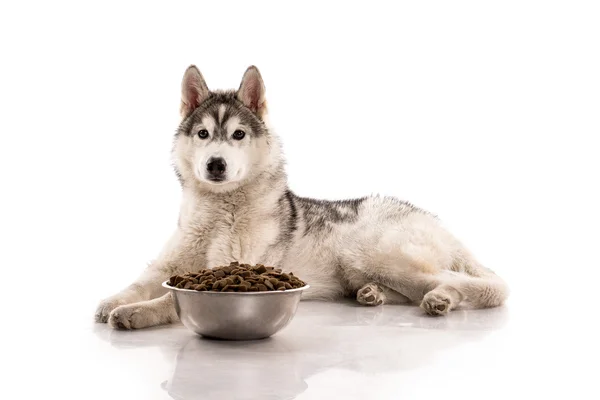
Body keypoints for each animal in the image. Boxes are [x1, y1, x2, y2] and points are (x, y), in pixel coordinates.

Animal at [96, 65, 508, 328]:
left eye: (238, 134)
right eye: (202, 134)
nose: (215, 164)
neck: (217, 213)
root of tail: (433, 219)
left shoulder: (224, 270)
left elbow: (170, 298)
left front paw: (136, 313)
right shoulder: (168, 265)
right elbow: (138, 283)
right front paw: (113, 301)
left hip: (370, 252)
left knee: (482, 285)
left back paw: (443, 297)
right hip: (360, 267)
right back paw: (375, 294)